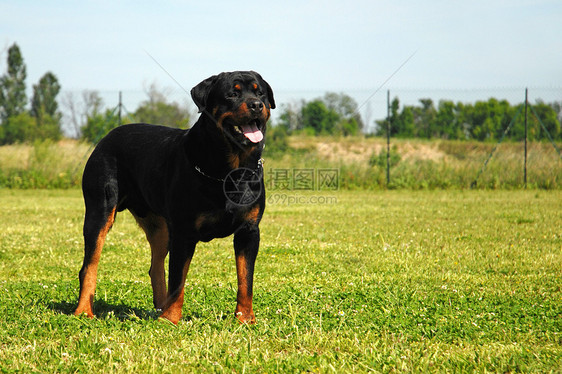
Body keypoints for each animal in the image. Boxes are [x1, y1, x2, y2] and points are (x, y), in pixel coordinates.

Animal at [73, 71, 274, 324]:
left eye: (261, 93)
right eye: (232, 94)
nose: (256, 105)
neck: (232, 170)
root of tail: (107, 137)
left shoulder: (249, 231)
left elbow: (245, 279)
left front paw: (245, 318)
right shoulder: (184, 231)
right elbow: (178, 279)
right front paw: (171, 318)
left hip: (159, 226)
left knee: (156, 265)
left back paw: (160, 308)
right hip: (99, 211)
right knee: (89, 265)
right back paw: (84, 310)